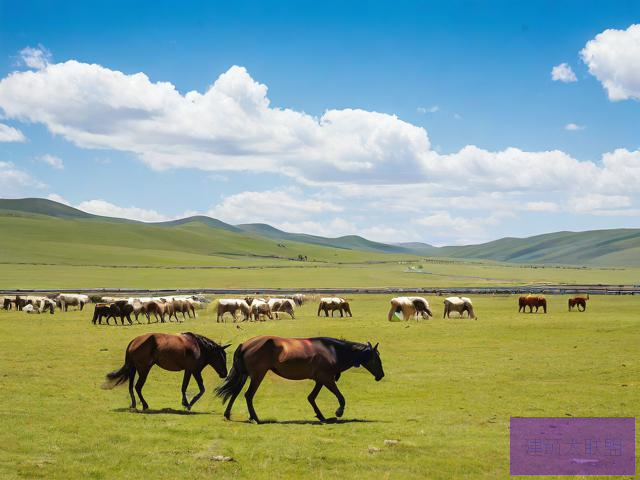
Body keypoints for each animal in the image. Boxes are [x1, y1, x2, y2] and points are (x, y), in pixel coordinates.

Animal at [215, 336, 384, 422]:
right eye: (377, 359)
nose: (381, 375)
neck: (332, 351)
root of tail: (244, 344)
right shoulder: (327, 379)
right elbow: (341, 397)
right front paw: (338, 412)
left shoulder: (320, 380)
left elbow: (311, 398)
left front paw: (322, 417)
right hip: (258, 375)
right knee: (248, 395)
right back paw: (255, 418)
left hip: (245, 375)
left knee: (235, 392)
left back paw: (228, 414)